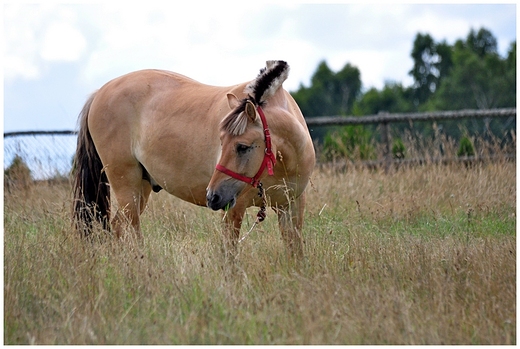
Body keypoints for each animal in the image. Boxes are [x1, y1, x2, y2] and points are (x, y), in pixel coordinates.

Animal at [72, 59, 316, 256]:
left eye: (242, 147)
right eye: (221, 141)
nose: (212, 196)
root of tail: (99, 93)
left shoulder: (291, 207)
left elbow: (295, 253)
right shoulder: (233, 210)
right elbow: (229, 257)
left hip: (141, 188)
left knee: (118, 227)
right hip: (126, 187)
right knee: (132, 230)